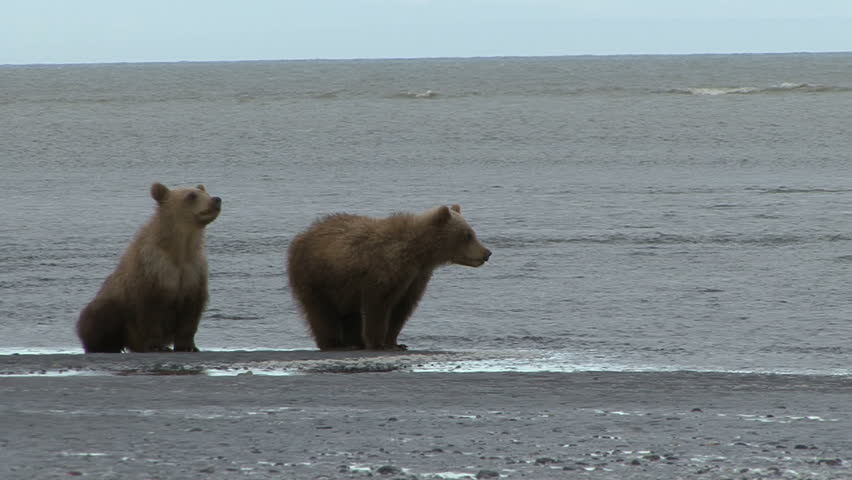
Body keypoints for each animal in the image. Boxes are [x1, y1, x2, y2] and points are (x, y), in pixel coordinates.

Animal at [76, 182, 222, 353]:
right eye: (191, 195)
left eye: (205, 192)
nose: (216, 199)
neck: (179, 249)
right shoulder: (153, 269)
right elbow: (151, 311)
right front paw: (157, 346)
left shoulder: (194, 269)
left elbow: (191, 311)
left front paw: (188, 346)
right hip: (113, 306)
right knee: (100, 314)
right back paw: (106, 346)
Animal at [287, 204, 491, 351]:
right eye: (468, 235)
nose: (486, 253)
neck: (419, 254)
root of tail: (302, 236)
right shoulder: (385, 270)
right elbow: (379, 305)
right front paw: (378, 343)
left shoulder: (415, 278)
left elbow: (401, 309)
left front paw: (396, 343)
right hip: (317, 276)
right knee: (320, 311)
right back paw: (335, 344)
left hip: (344, 285)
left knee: (350, 313)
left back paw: (355, 342)